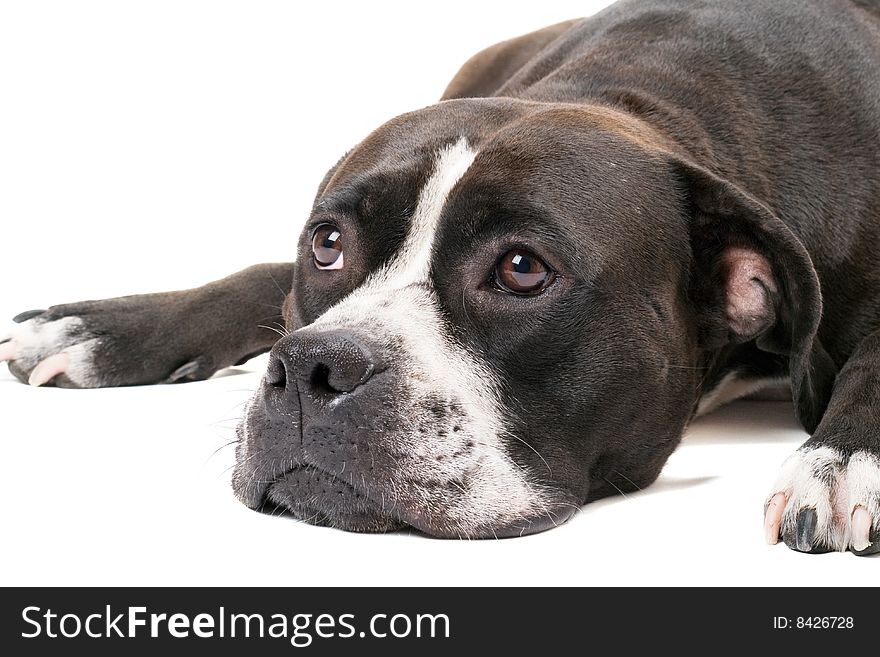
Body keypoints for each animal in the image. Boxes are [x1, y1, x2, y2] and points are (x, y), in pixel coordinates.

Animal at [1, 0, 880, 552]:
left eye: (522, 269)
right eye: (326, 244)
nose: (311, 365)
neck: (662, 97)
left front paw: (840, 461)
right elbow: (266, 274)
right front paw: (105, 324)